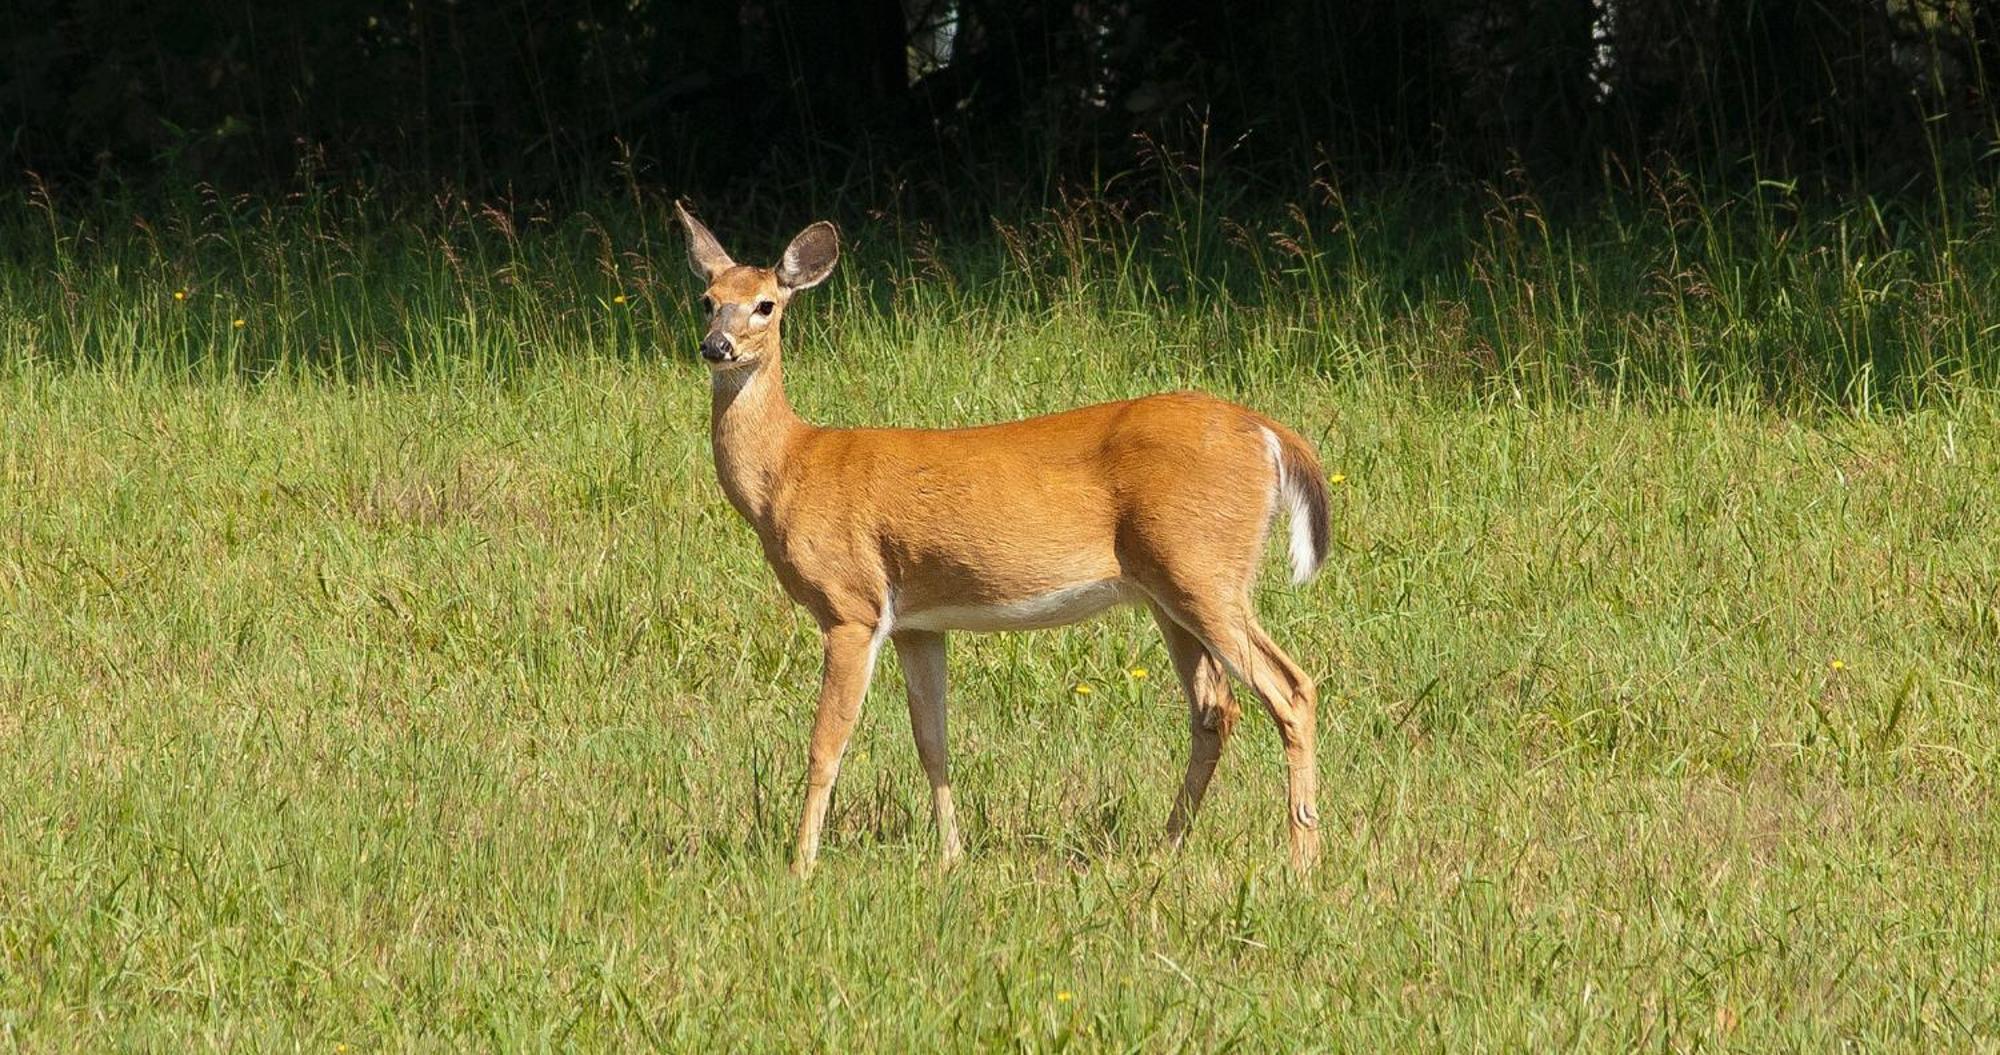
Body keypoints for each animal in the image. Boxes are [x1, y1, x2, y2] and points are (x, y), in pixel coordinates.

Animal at [680, 201, 1336, 879]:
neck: (791, 469)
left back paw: (1303, 859)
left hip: (1203, 568)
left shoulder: (851, 605)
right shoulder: (918, 622)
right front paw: (951, 857)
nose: (716, 346)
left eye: (765, 304)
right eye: (707, 299)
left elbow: (825, 745)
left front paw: (799, 866)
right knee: (1214, 708)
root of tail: (1270, 434)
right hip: (1169, 589)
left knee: (1292, 689)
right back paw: (1165, 846)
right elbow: (932, 741)